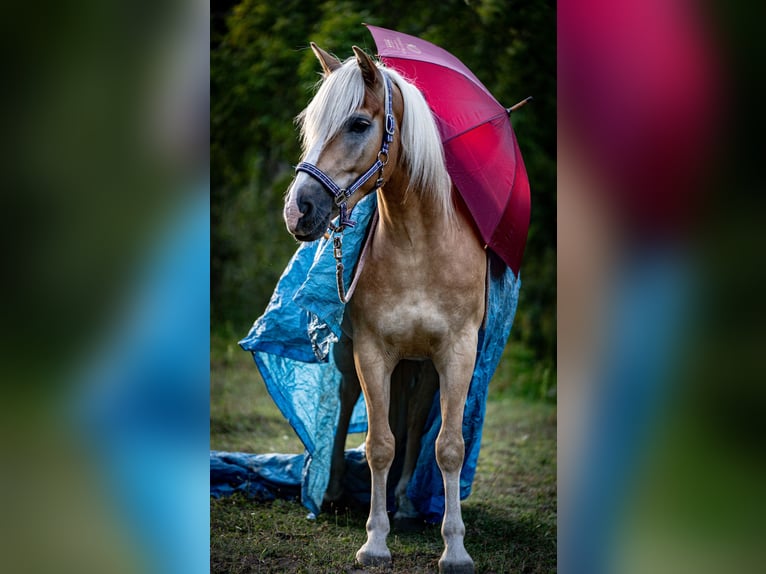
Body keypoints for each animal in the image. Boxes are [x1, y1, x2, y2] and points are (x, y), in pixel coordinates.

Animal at [282, 42, 486, 572]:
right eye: (311, 123)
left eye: (357, 124)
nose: (298, 210)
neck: (419, 246)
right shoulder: (372, 353)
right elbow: (378, 445)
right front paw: (375, 541)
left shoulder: (456, 355)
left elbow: (448, 446)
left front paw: (455, 548)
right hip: (354, 360)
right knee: (348, 410)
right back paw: (334, 491)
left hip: (422, 367)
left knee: (413, 423)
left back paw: (409, 501)